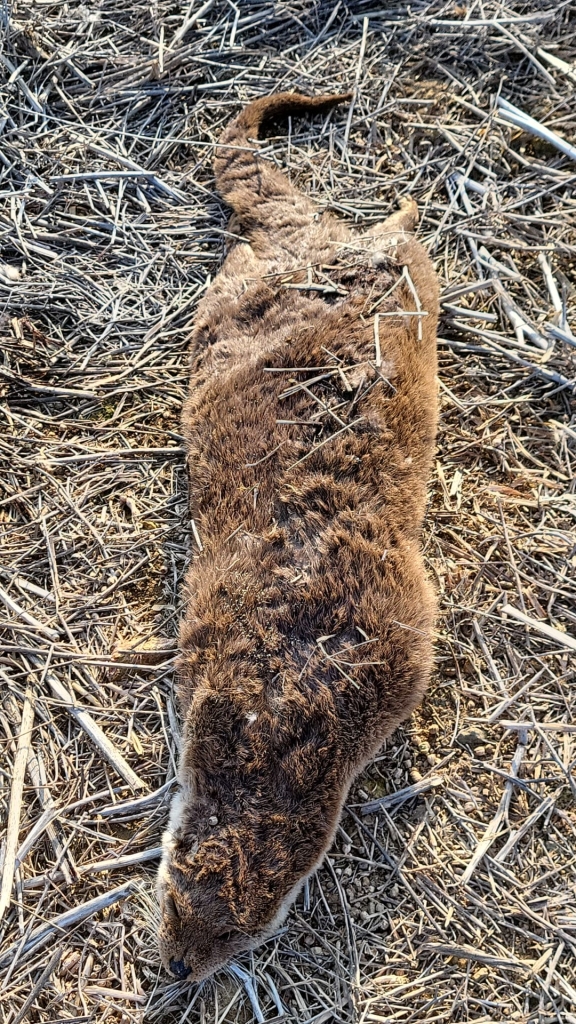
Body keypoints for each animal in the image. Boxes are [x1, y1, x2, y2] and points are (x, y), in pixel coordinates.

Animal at [154, 92, 436, 978]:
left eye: (244, 933)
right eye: (176, 893)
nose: (179, 968)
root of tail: (311, 236)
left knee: (394, 236)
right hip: (265, 278)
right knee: (382, 234)